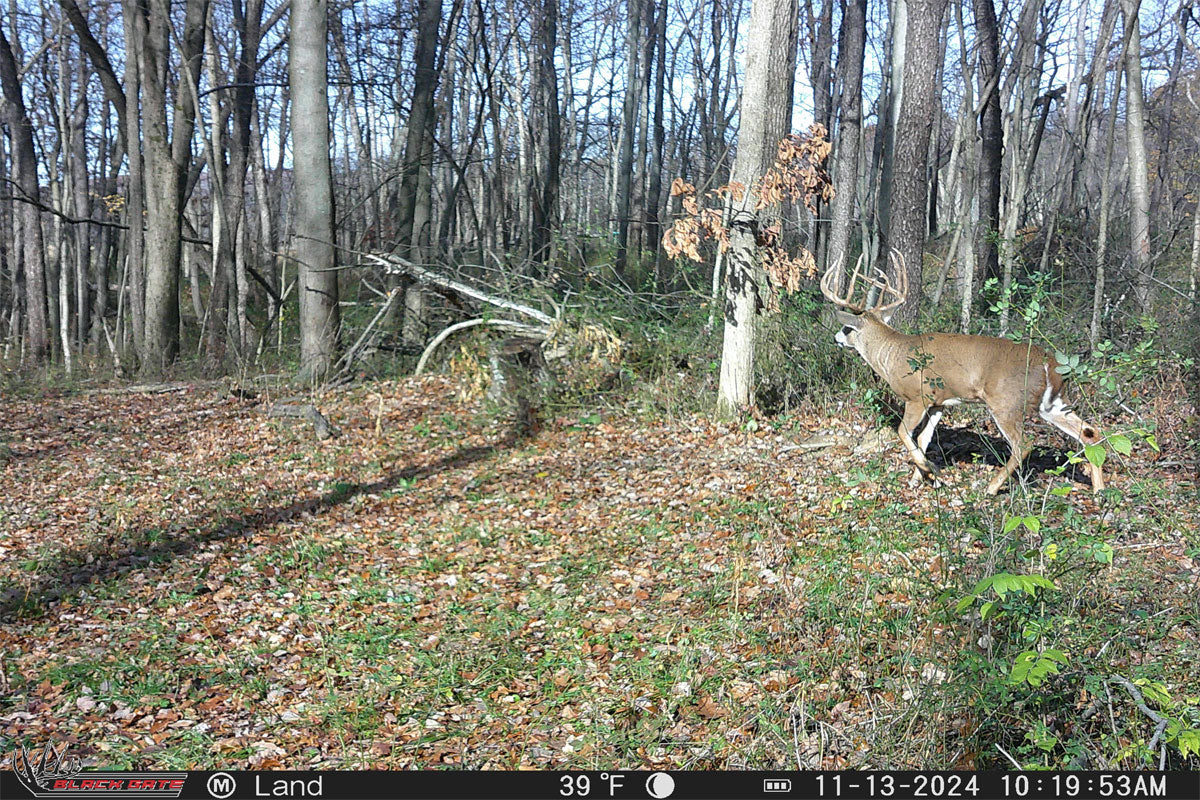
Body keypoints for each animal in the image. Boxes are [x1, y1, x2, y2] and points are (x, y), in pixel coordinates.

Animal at [820, 251, 1105, 495]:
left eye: (846, 328)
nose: (835, 338)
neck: (892, 355)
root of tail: (1049, 364)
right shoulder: (939, 402)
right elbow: (923, 438)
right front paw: (920, 479)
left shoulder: (917, 397)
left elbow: (903, 433)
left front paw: (930, 471)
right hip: (1054, 402)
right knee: (1090, 432)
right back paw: (1100, 490)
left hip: (1006, 402)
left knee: (1024, 444)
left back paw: (991, 487)